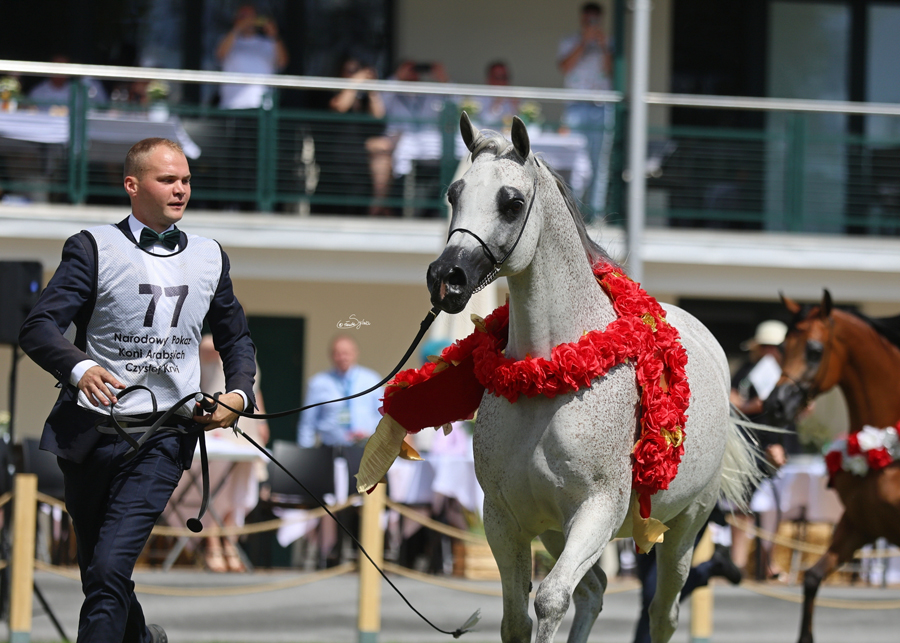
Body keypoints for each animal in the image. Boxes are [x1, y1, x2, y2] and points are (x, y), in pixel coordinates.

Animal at [426, 115, 764, 643]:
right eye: (453, 193)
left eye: (511, 202)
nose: (447, 277)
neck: (547, 382)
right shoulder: (504, 519)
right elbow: (517, 619)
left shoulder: (597, 510)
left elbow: (549, 600)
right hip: (554, 531)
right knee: (595, 590)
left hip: (685, 528)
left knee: (662, 611)